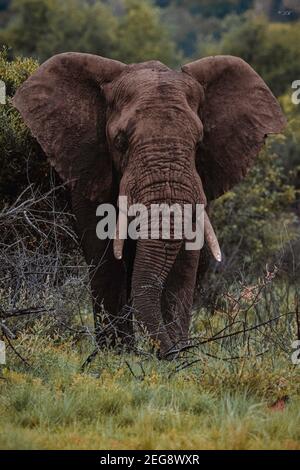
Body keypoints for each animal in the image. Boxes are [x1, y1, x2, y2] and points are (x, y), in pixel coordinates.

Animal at [12, 53, 286, 358]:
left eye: (199, 142)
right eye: (120, 141)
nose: (164, 353)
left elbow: (185, 259)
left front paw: (179, 355)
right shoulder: (88, 163)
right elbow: (104, 254)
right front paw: (118, 355)